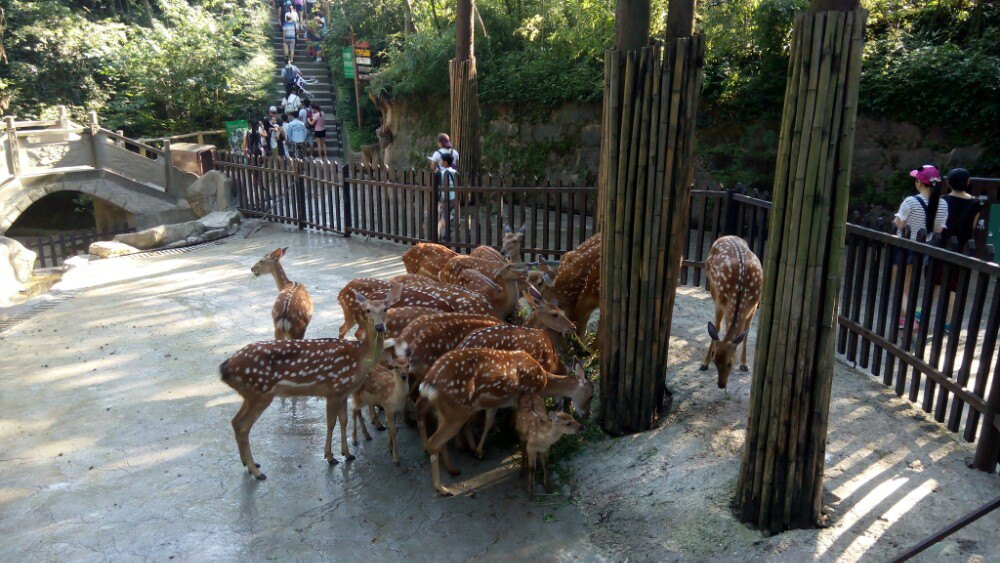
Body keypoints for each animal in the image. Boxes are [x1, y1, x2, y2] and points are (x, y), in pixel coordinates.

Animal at [221, 284, 404, 478]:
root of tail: (224, 368)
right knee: (243, 426)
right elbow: (330, 423)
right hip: (260, 392)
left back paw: (248, 464)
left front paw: (347, 454)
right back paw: (256, 472)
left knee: (235, 422)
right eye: (367, 310)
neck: (359, 357)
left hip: (250, 395)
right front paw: (331, 457)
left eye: (386, 309)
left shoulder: (343, 392)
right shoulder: (334, 389)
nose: (379, 326)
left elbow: (344, 420)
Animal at [416, 350, 588, 496]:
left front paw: (478, 451)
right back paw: (442, 488)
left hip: (445, 412)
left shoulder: (496, 402)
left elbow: (489, 420)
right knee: (434, 441)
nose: (586, 417)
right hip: (457, 411)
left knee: (439, 440)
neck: (544, 380)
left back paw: (453, 470)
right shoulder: (522, 398)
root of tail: (427, 385)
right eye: (590, 396)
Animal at [700, 236, 760, 390]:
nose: (721, 385)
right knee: (717, 326)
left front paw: (744, 364)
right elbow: (718, 327)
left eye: (730, 362)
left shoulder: (754, 303)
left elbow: (746, 330)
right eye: (716, 361)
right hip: (713, 287)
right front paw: (705, 362)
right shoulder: (721, 301)